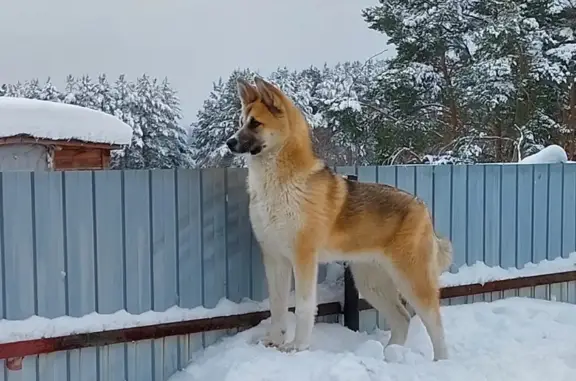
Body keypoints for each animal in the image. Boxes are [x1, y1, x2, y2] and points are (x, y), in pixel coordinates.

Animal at [226, 75, 454, 360]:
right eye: (241, 122)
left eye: (255, 123)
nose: (229, 142)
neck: (281, 183)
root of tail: (422, 207)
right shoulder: (275, 259)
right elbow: (277, 306)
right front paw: (274, 341)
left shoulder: (304, 259)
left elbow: (303, 307)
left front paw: (298, 347)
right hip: (370, 281)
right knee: (401, 318)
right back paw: (387, 354)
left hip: (412, 279)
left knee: (434, 321)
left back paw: (440, 361)